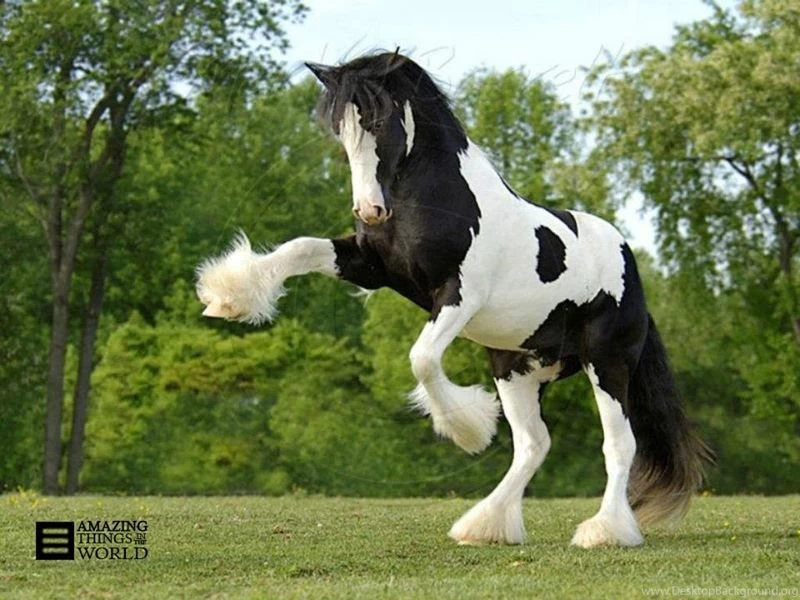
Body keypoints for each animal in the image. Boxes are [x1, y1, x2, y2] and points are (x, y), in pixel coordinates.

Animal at [196, 51, 713, 548]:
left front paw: (467, 430)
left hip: (607, 362)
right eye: (339, 127)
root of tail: (629, 261)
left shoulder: (459, 295)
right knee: (534, 444)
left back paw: (603, 532)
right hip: (518, 366)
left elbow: (422, 358)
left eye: (380, 121)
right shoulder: (370, 266)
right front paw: (226, 296)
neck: (435, 199)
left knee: (618, 444)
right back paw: (484, 526)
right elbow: (299, 248)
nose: (369, 209)